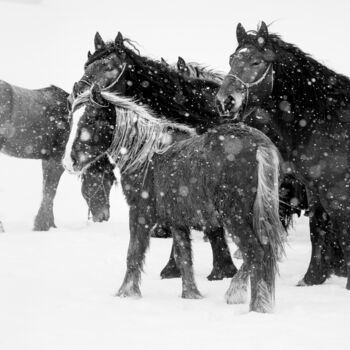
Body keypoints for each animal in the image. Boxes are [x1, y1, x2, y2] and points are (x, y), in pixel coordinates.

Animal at [0, 78, 116, 230]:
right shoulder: (56, 161)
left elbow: (46, 189)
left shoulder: (47, 160)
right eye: (106, 181)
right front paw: (44, 225)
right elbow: (50, 191)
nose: (104, 217)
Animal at [63, 86, 288, 314]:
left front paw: (126, 293)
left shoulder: (140, 212)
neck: (145, 156)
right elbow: (184, 257)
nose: (68, 163)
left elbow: (134, 252)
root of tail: (260, 145)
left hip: (235, 217)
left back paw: (255, 306)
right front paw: (191, 294)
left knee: (256, 253)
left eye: (91, 119)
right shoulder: (178, 220)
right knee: (265, 250)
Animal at [216, 21, 348, 288]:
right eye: (232, 60)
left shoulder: (339, 191)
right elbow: (318, 227)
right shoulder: (316, 189)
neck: (326, 121)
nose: (225, 102)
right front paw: (310, 280)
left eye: (257, 62)